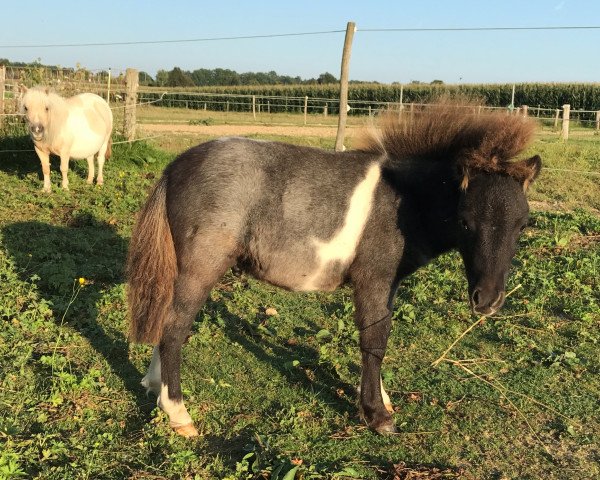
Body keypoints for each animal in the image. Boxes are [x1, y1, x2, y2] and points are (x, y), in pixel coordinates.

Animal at [126, 103, 540, 436]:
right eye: (466, 222)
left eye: (523, 225)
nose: (487, 300)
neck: (403, 201)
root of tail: (175, 167)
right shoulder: (373, 279)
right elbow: (375, 338)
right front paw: (377, 415)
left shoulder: (388, 284)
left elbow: (377, 336)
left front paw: (381, 400)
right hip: (202, 265)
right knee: (174, 328)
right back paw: (179, 414)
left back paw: (154, 386)